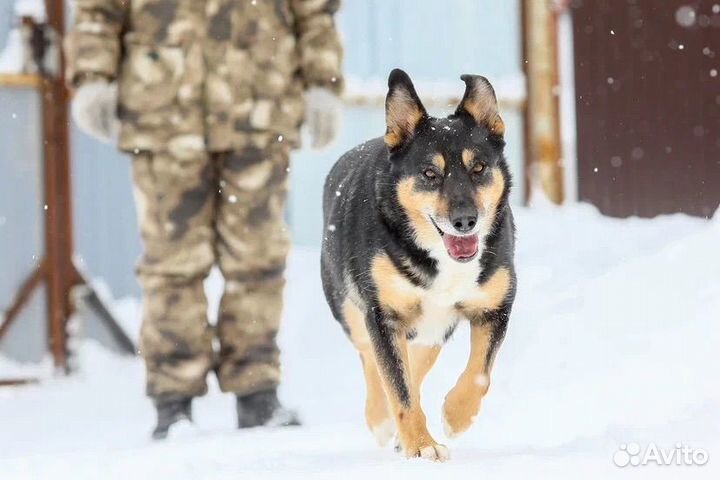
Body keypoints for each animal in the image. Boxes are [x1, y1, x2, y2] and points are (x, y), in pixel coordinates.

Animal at [322, 68, 516, 462]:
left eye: (479, 168)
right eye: (430, 173)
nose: (465, 221)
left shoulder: (496, 305)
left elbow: (480, 374)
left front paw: (456, 416)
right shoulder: (382, 315)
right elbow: (399, 388)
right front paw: (421, 445)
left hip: (433, 329)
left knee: (417, 361)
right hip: (350, 310)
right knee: (372, 361)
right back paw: (381, 420)